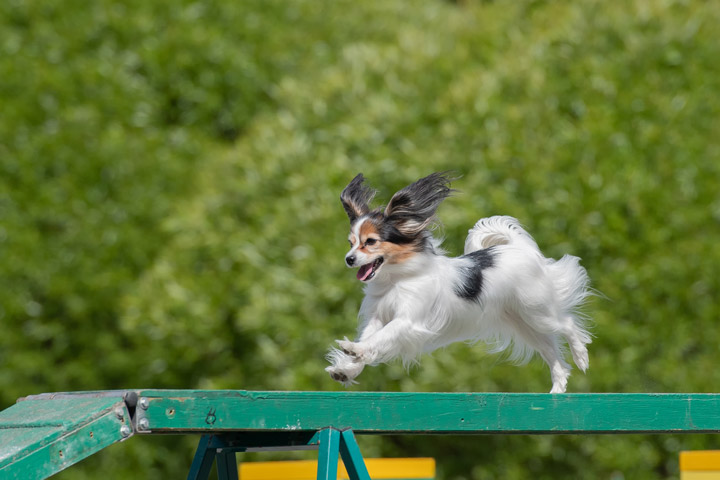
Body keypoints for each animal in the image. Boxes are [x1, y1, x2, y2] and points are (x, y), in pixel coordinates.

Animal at [326, 172, 592, 394]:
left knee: (567, 325)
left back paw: (581, 356)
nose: (349, 259)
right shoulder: (377, 318)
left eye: (370, 242)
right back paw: (557, 390)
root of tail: (519, 248)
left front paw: (355, 352)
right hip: (525, 324)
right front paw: (347, 369)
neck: (396, 279)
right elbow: (370, 339)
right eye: (351, 243)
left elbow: (378, 340)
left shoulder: (407, 322)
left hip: (538, 312)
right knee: (553, 355)